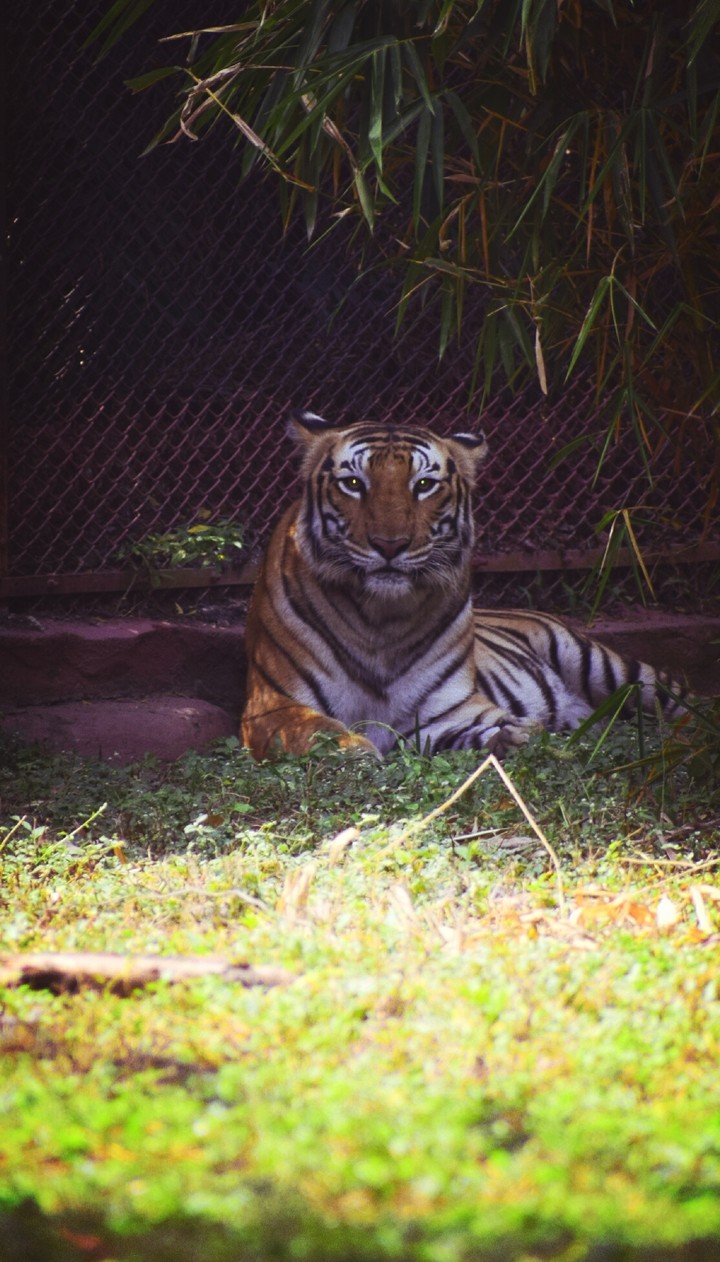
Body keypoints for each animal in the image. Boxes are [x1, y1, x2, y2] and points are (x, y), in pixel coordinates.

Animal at [240, 411, 684, 760]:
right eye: (352, 483)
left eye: (423, 485)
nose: (390, 544)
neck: (379, 620)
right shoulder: (271, 707)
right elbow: (319, 730)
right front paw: (357, 751)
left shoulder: (447, 710)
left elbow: (493, 724)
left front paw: (517, 735)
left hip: (608, 666)